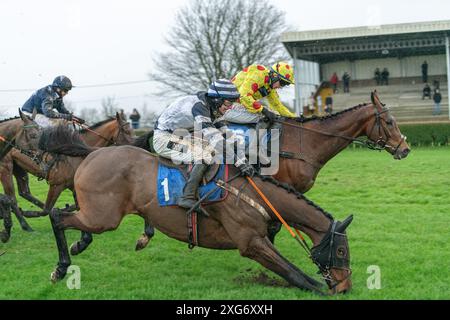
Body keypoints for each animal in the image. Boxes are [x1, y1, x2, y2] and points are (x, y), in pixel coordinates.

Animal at [0, 114, 134, 241]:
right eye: (126, 131)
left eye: (131, 130)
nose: (135, 146)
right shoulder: (58, 184)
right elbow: (49, 209)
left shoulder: (74, 186)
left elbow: (78, 206)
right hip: (6, 169)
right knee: (13, 198)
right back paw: (25, 224)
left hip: (19, 169)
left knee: (24, 192)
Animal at [39, 125, 356, 296]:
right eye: (341, 251)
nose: (346, 286)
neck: (254, 194)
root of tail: (92, 153)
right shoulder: (251, 242)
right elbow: (295, 274)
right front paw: (321, 287)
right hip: (103, 217)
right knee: (58, 216)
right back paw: (60, 268)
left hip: (98, 213)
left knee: (66, 215)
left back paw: (80, 244)